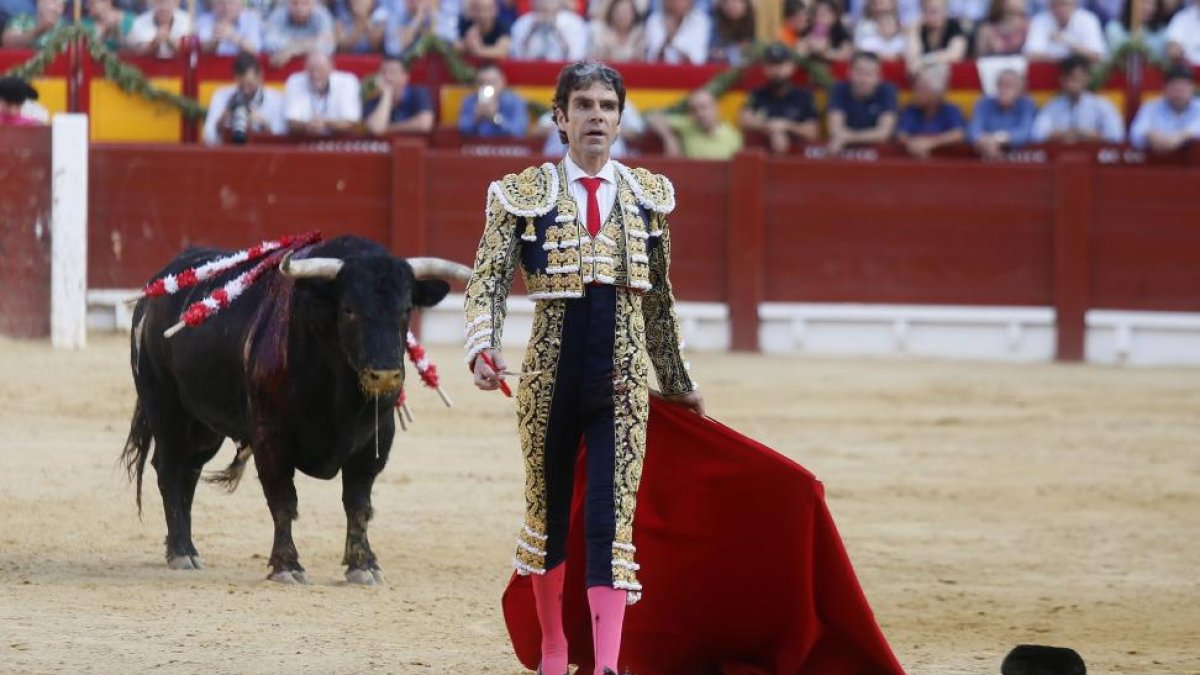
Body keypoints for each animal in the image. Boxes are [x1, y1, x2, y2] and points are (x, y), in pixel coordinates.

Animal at [120, 236, 468, 583]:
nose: (384, 376)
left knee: (189, 472)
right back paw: (180, 551)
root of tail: (157, 287)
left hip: (204, 426)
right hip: (165, 408)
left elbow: (358, 503)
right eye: (348, 309)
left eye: (406, 309)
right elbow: (283, 500)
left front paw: (363, 565)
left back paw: (189, 549)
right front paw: (287, 566)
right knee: (169, 468)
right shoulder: (271, 436)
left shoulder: (375, 440)